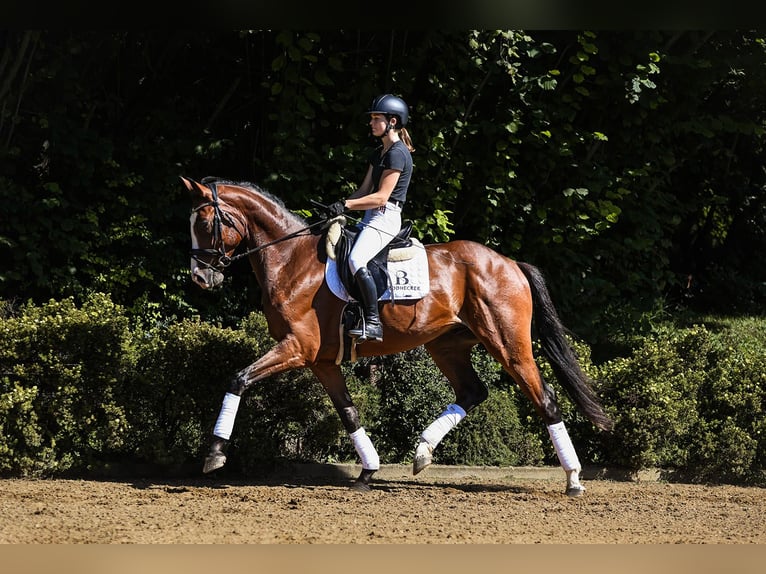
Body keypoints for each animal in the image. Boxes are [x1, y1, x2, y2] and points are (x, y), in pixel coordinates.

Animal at [184, 177, 612, 500]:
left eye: (205, 225)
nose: (201, 278)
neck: (291, 260)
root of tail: (509, 263)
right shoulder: (321, 361)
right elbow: (349, 412)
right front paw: (367, 472)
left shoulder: (296, 348)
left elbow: (238, 378)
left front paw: (214, 455)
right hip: (447, 344)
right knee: (473, 392)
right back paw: (422, 452)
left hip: (508, 343)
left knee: (545, 399)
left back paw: (574, 480)